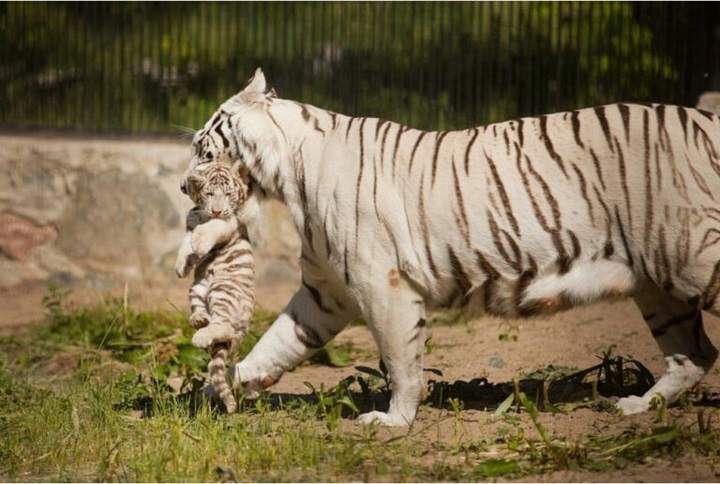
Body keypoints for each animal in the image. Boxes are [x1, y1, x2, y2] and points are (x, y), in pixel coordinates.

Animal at [175, 162, 257, 413]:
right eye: (210, 194)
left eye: (228, 194)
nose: (218, 210)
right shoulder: (190, 223)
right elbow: (185, 243)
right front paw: (181, 265)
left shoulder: (230, 224)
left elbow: (216, 227)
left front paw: (201, 240)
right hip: (197, 289)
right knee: (208, 317)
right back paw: (199, 320)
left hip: (222, 288)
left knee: (224, 326)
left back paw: (201, 336)